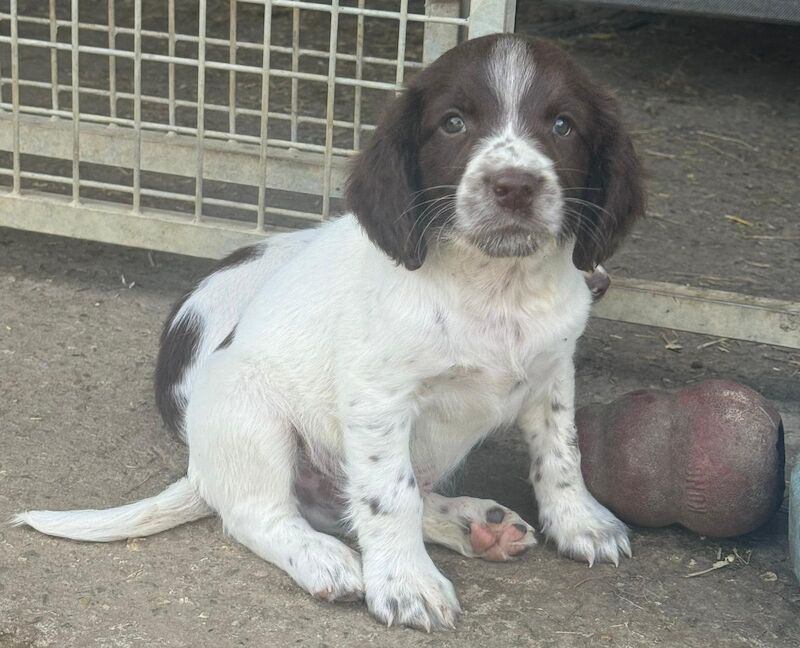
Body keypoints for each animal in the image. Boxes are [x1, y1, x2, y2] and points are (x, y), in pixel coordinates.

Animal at [14, 33, 644, 632]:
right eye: (453, 123)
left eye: (562, 125)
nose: (514, 186)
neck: (496, 286)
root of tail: (199, 468)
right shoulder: (379, 398)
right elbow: (391, 496)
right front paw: (407, 585)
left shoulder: (553, 373)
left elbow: (562, 455)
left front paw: (581, 523)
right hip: (252, 415)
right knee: (261, 514)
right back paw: (325, 558)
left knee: (349, 504)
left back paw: (473, 523)